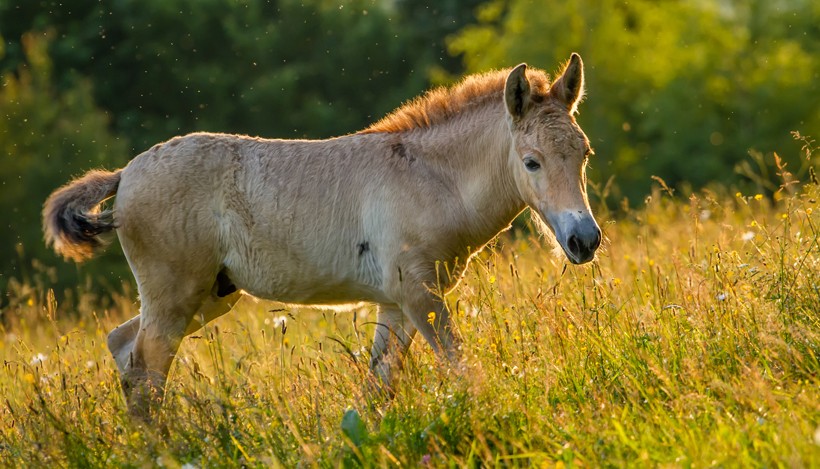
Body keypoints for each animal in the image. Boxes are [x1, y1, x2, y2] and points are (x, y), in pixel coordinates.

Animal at [43, 54, 604, 420]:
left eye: (584, 153)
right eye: (531, 162)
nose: (585, 240)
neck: (431, 179)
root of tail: (125, 175)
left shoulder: (396, 303)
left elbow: (378, 388)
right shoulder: (419, 295)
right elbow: (460, 366)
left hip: (210, 294)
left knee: (125, 350)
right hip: (175, 294)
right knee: (146, 371)